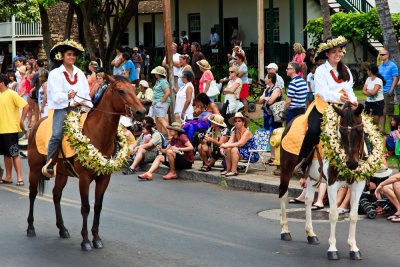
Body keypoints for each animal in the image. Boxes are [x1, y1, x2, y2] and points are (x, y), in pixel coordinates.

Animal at [26, 75, 147, 251]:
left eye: (133, 89)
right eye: (121, 91)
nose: (141, 112)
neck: (98, 134)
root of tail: (36, 123)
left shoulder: (104, 178)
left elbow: (97, 207)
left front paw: (96, 238)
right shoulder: (84, 179)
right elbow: (85, 208)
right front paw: (85, 241)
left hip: (62, 173)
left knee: (56, 195)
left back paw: (62, 229)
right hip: (34, 169)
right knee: (33, 194)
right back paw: (30, 228)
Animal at [278, 104, 366, 262]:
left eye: (360, 130)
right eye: (341, 131)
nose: (351, 164)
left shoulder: (358, 185)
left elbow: (354, 215)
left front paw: (353, 248)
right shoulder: (332, 184)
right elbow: (333, 215)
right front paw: (332, 249)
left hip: (313, 177)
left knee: (308, 200)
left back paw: (310, 234)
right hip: (286, 169)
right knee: (283, 194)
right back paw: (285, 231)